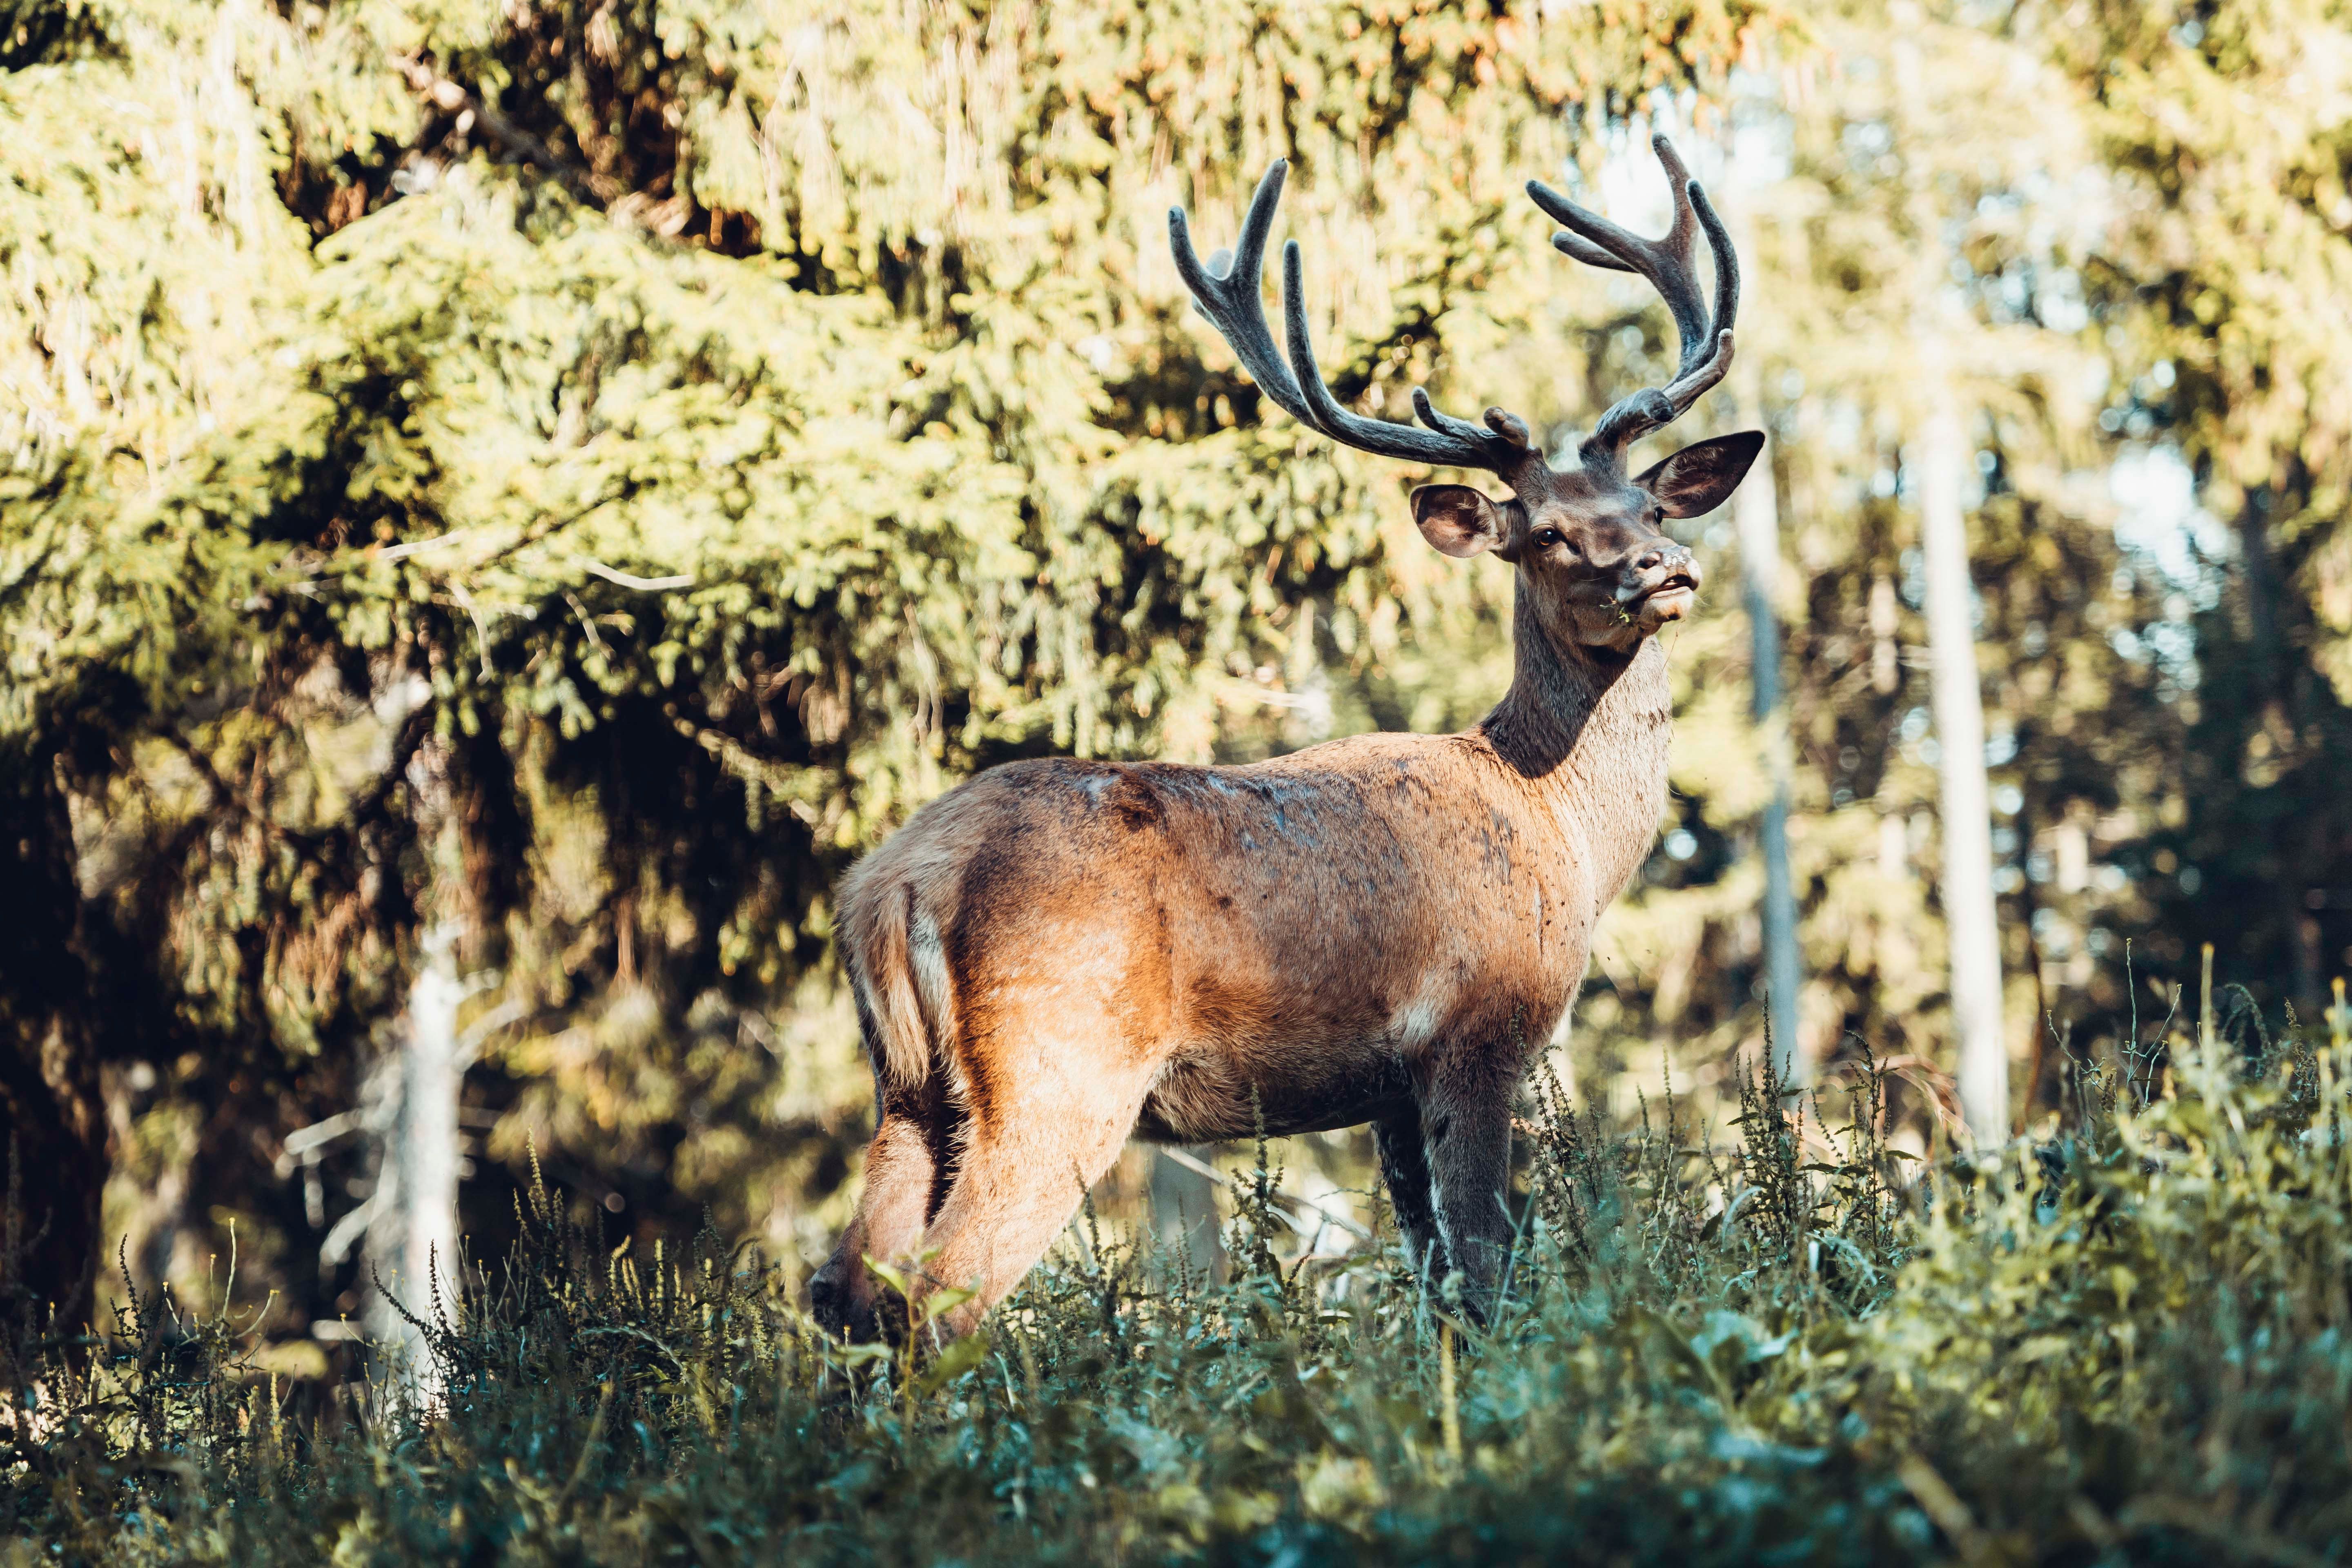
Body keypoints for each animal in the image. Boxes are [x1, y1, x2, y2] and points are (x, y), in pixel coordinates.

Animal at [809, 136, 1761, 1342]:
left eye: (1652, 507)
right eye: (1547, 534)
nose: (1662, 570)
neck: (1563, 829)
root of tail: (895, 884)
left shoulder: (1388, 1088)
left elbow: (1434, 1274)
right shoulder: (1481, 1033)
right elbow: (1488, 1262)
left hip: (906, 1087)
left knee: (846, 1286)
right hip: (1058, 1065)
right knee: (942, 1292)